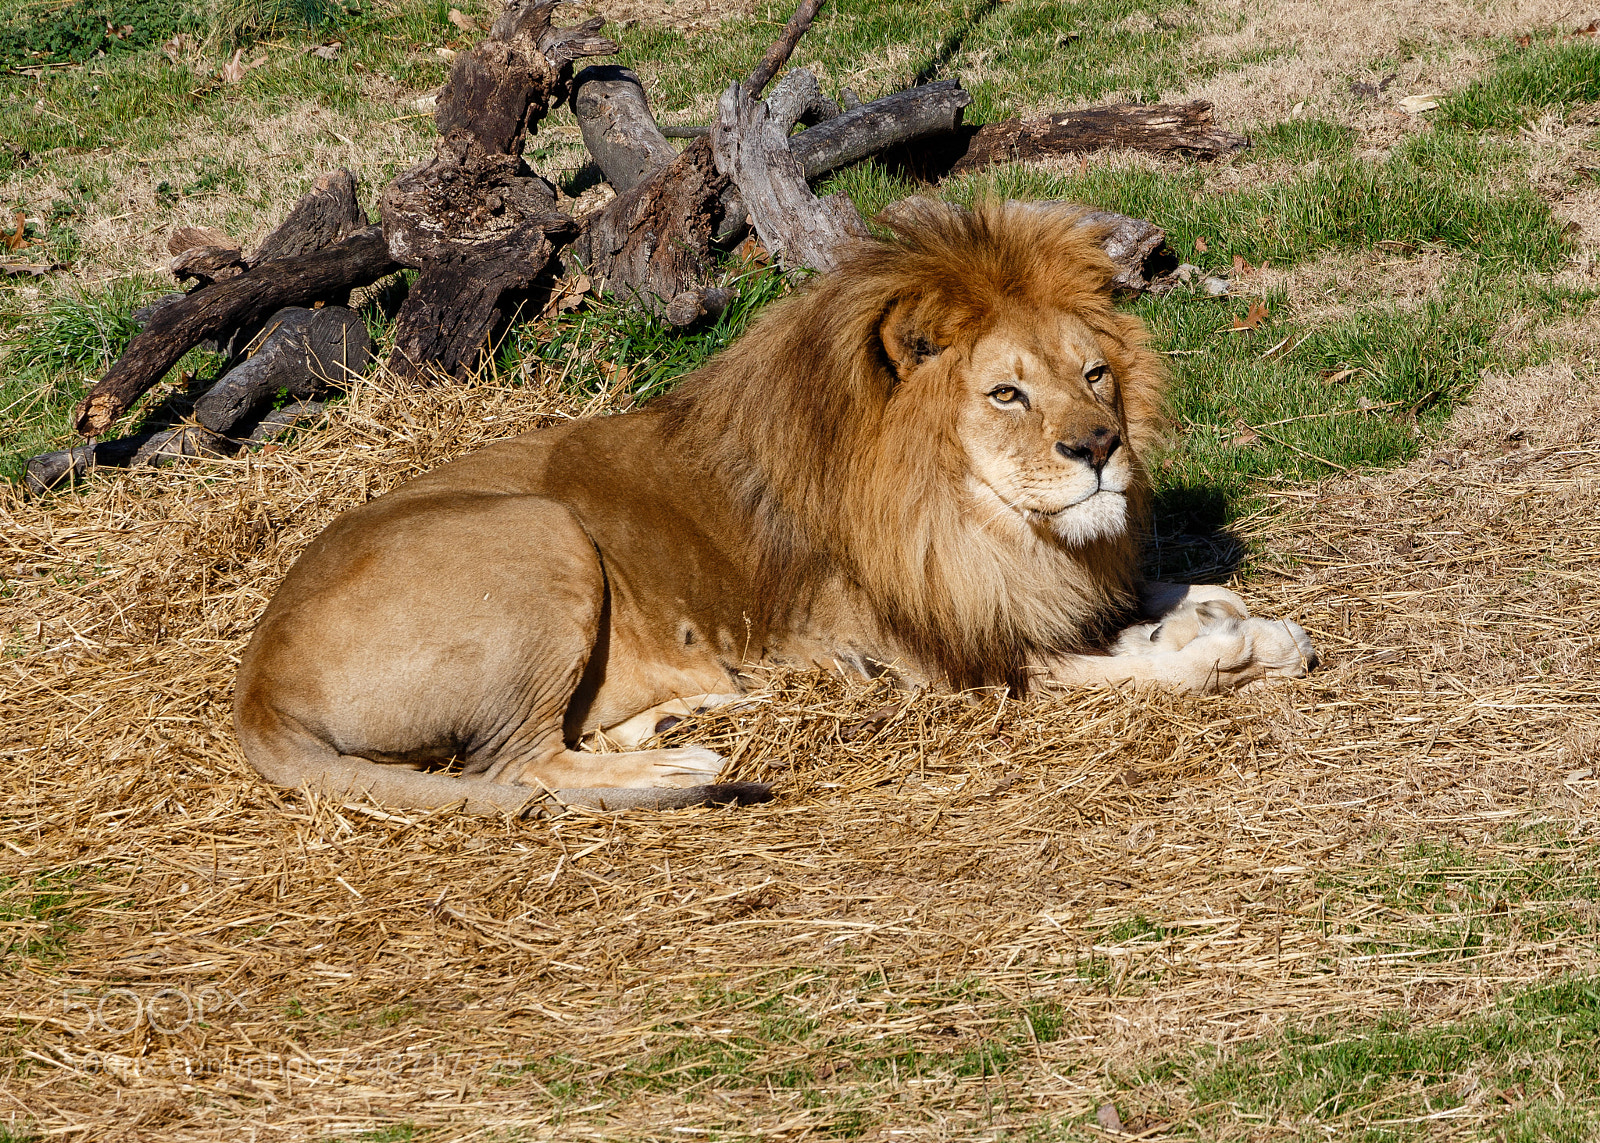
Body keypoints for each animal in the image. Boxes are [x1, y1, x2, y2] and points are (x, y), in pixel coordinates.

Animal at [234, 201, 1318, 815]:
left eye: (1095, 374)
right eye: (1005, 393)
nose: (1099, 447)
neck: (978, 523)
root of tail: (256, 683)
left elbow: (1146, 605)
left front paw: (1229, 617)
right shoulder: (928, 661)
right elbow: (1129, 670)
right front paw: (1225, 648)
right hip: (536, 529)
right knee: (513, 767)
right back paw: (680, 768)